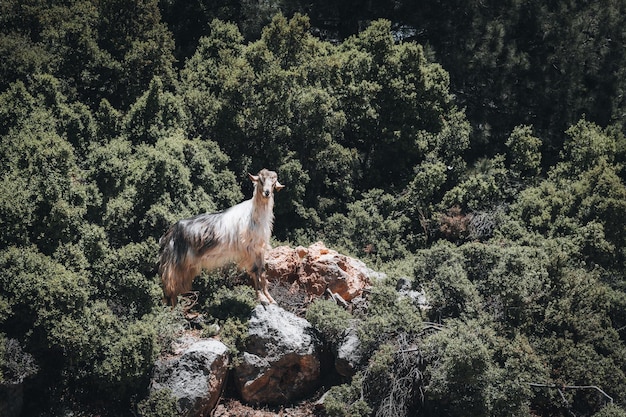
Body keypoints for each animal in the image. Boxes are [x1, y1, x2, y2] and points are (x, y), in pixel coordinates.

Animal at [157, 168, 284, 306]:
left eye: (273, 183)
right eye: (261, 181)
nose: (267, 193)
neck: (253, 215)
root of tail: (169, 234)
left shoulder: (259, 249)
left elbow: (263, 272)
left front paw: (270, 299)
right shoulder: (250, 250)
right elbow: (256, 272)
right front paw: (262, 298)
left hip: (186, 268)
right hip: (174, 267)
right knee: (170, 289)